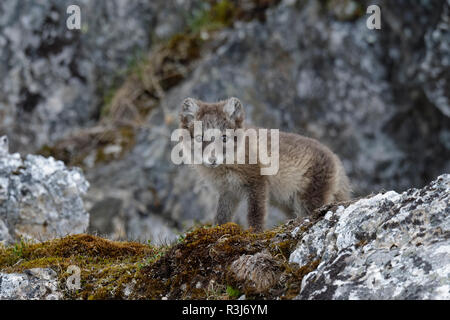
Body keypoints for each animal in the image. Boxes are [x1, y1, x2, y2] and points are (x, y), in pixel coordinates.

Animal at [179, 96, 352, 231]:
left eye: (224, 137)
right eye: (200, 138)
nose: (212, 159)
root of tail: (336, 159)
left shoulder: (257, 182)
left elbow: (255, 213)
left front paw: (254, 233)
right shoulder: (227, 191)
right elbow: (221, 216)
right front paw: (217, 231)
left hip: (309, 200)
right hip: (288, 204)